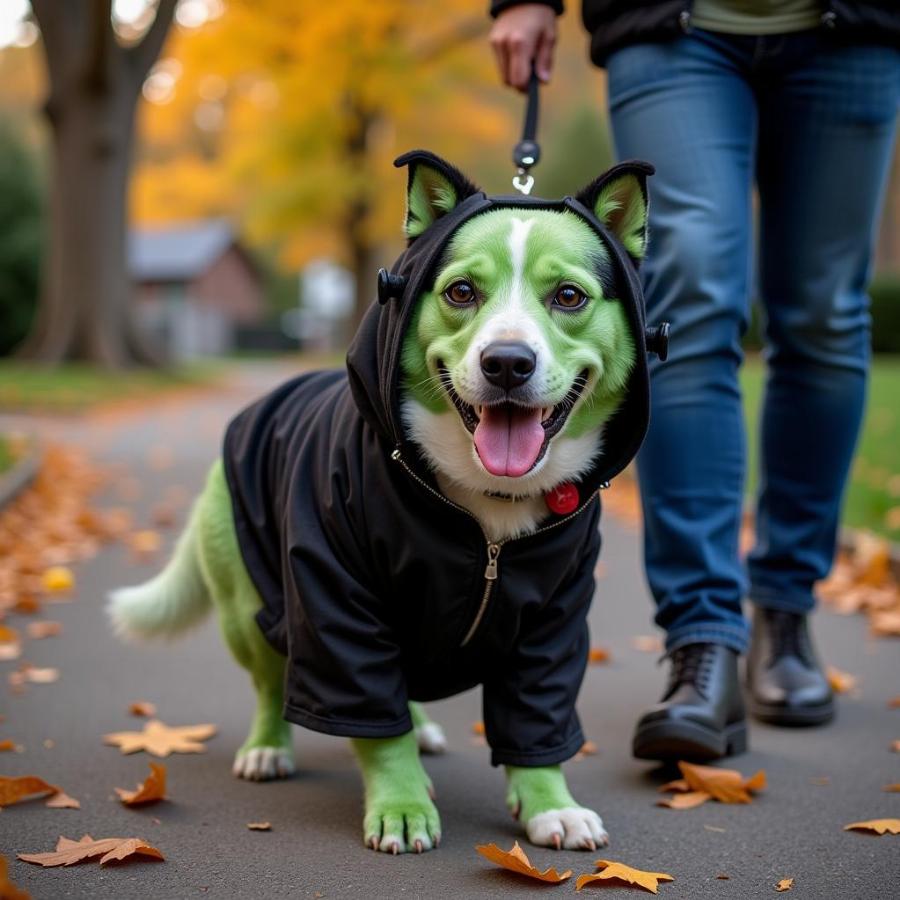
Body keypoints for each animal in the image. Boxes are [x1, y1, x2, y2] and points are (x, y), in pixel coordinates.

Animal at [109, 151, 652, 856]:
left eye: (568, 297)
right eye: (460, 292)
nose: (507, 362)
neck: (486, 519)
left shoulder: (555, 624)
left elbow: (537, 719)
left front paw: (550, 804)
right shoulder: (335, 602)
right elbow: (373, 720)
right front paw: (400, 803)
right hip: (249, 609)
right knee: (270, 683)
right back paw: (268, 746)